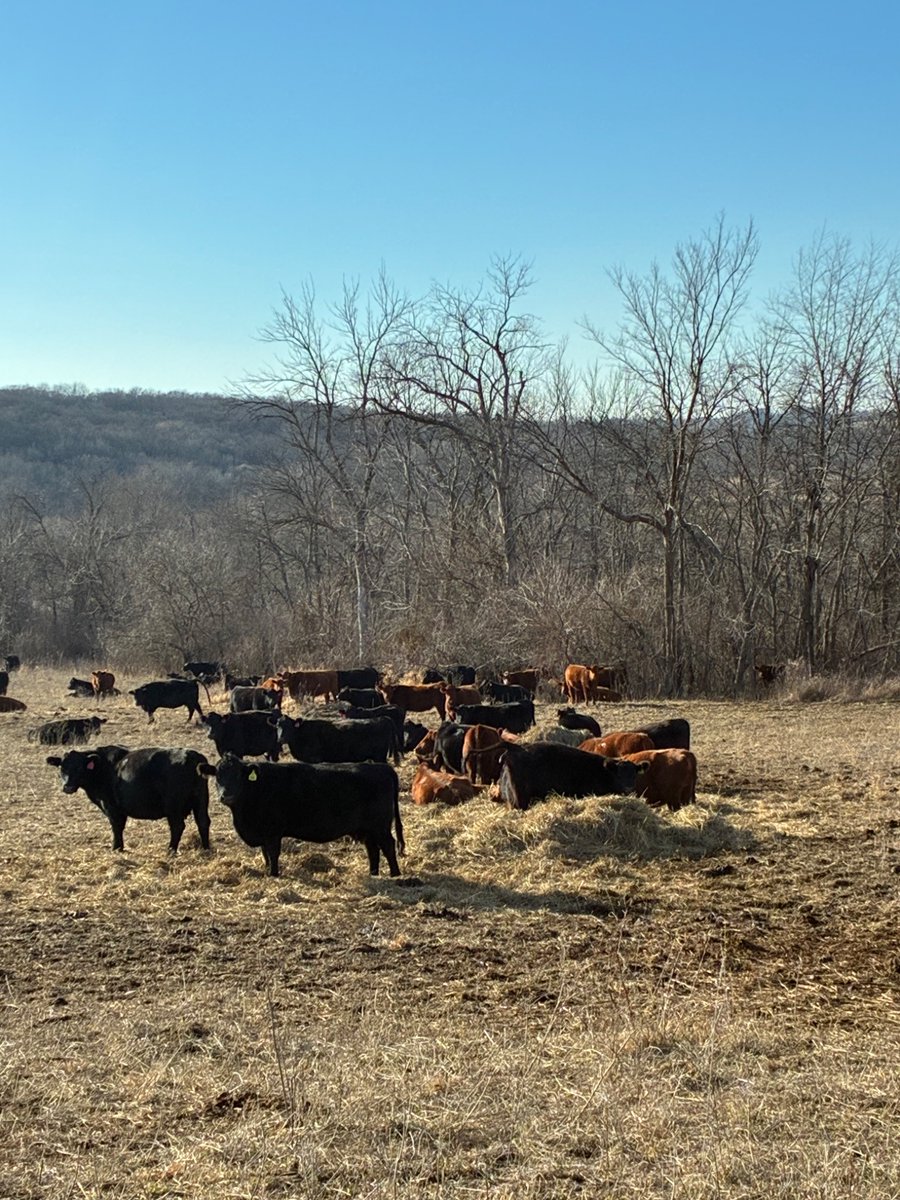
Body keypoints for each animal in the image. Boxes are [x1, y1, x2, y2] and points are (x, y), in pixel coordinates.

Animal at [46, 745, 211, 853]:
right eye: (62, 767)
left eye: (79, 768)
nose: (67, 786)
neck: (102, 768)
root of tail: (192, 756)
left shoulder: (112, 808)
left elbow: (116, 827)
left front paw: (116, 848)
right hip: (201, 800)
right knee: (203, 822)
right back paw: (206, 848)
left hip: (174, 807)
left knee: (177, 826)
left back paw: (170, 850)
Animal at [198, 753, 403, 878]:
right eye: (218, 776)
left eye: (238, 775)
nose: (226, 795)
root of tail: (381, 767)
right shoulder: (263, 832)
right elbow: (265, 854)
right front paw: (267, 871)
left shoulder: (272, 832)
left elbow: (273, 853)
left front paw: (274, 874)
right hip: (368, 829)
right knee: (373, 849)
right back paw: (373, 873)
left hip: (380, 826)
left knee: (388, 845)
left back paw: (395, 874)